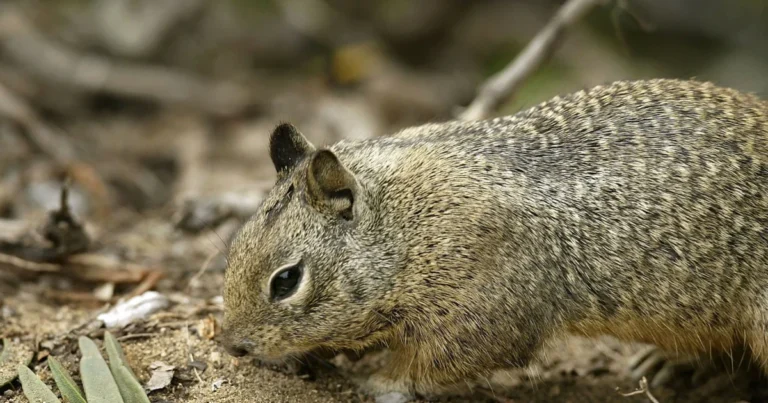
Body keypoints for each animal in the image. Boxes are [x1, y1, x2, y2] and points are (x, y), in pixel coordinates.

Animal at [220, 78, 768, 398]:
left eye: (286, 280)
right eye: (233, 249)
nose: (232, 346)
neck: (405, 227)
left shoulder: (480, 315)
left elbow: (430, 365)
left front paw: (380, 380)